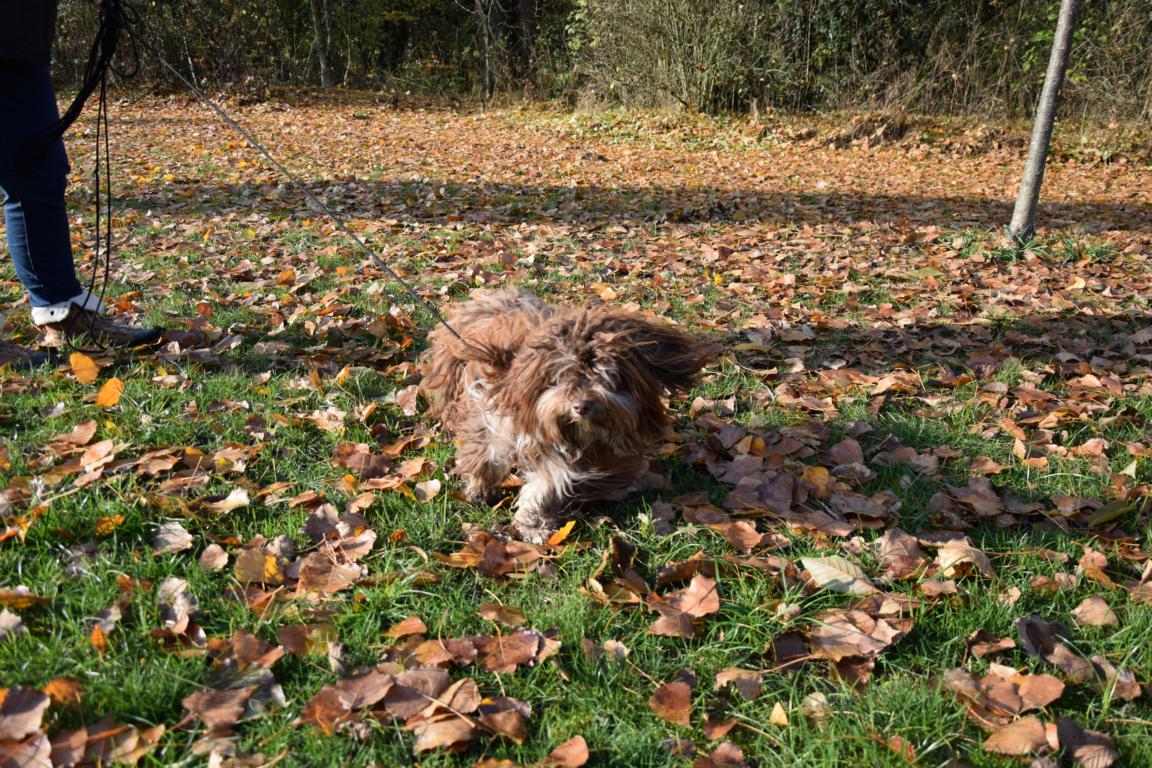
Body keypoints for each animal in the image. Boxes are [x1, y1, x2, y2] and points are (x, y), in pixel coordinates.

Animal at [419, 285, 714, 543]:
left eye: (607, 377)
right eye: (561, 377)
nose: (581, 406)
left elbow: (547, 486)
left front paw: (533, 524)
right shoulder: (492, 417)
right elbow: (486, 454)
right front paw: (478, 490)